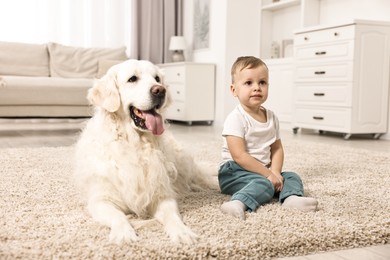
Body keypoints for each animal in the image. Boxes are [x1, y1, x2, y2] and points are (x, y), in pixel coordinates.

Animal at [74, 59, 216, 244]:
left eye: (157, 78)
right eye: (132, 79)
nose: (160, 90)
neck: (135, 144)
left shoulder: (162, 193)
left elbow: (172, 216)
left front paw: (182, 232)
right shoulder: (101, 200)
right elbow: (118, 216)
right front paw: (124, 233)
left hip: (184, 166)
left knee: (203, 176)